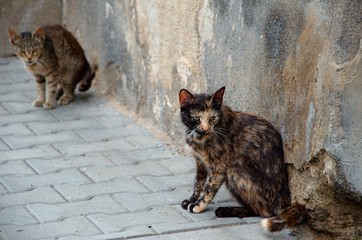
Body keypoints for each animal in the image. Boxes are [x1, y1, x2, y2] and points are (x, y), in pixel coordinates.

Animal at [180, 87, 306, 232]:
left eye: (212, 118)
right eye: (197, 118)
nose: (206, 128)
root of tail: (283, 196)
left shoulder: (219, 167)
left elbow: (208, 188)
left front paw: (199, 206)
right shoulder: (200, 162)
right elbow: (198, 183)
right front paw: (192, 200)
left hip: (234, 169)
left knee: (264, 211)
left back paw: (225, 211)